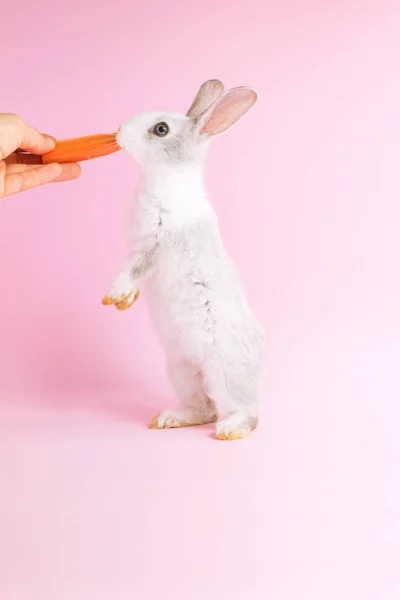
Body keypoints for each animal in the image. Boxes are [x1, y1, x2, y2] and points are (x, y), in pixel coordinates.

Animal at [103, 79, 266, 438]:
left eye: (161, 129)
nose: (120, 130)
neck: (167, 178)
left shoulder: (157, 243)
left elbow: (135, 268)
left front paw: (114, 294)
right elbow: (133, 272)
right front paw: (124, 300)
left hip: (225, 371)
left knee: (246, 411)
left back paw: (230, 430)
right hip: (180, 369)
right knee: (204, 408)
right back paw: (169, 419)